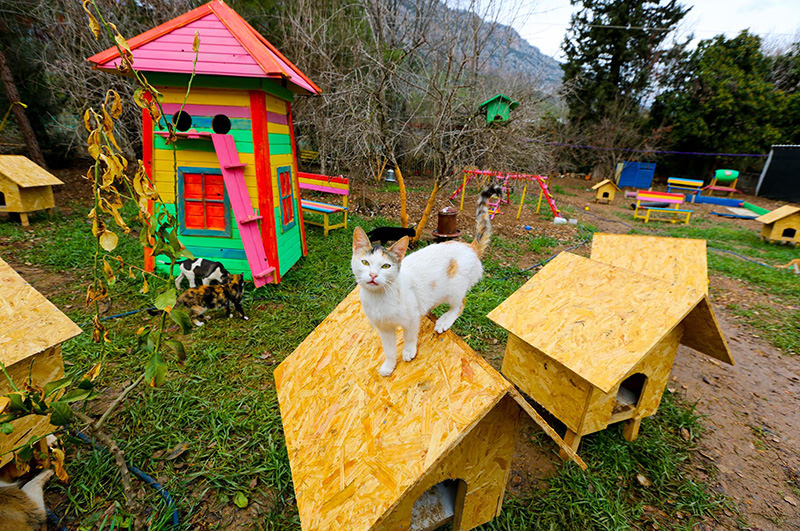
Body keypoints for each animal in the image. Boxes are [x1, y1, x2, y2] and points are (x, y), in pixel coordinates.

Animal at [352, 185, 500, 376]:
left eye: (385, 266)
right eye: (365, 262)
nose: (372, 275)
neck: (380, 298)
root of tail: (469, 246)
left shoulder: (411, 319)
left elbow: (409, 336)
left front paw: (409, 351)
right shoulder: (385, 329)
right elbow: (389, 349)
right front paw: (389, 366)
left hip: (455, 287)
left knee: (460, 304)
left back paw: (444, 320)